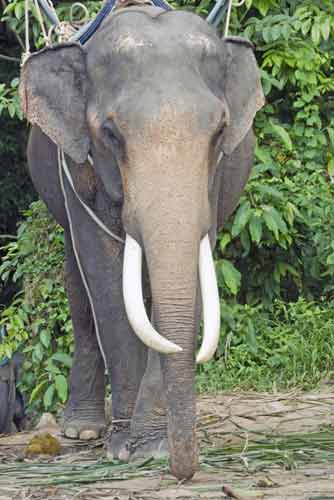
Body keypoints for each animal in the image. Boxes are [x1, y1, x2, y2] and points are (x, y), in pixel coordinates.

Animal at [19, 3, 264, 480]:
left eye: (219, 132)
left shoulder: (211, 182)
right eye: (111, 134)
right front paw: (124, 447)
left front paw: (151, 446)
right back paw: (82, 430)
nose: (186, 472)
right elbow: (106, 282)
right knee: (79, 290)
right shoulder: (79, 169)